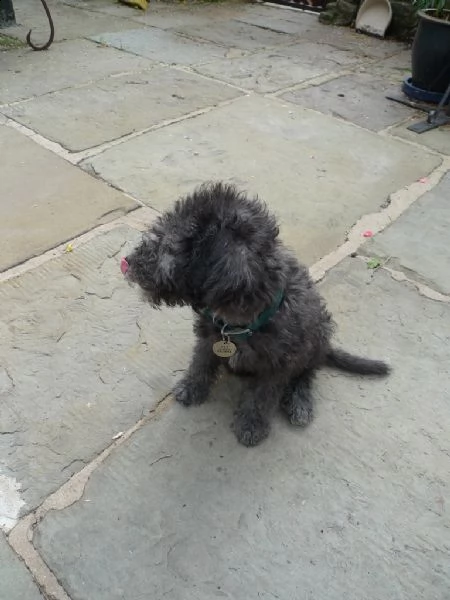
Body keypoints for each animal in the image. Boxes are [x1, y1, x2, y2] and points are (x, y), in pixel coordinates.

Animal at [120, 183, 390, 446]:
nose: (127, 262)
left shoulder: (277, 365)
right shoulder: (208, 339)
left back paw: (299, 402)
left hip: (316, 338)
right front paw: (191, 387)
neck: (238, 322)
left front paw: (251, 425)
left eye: (168, 244)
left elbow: (261, 397)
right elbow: (200, 363)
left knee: (307, 372)